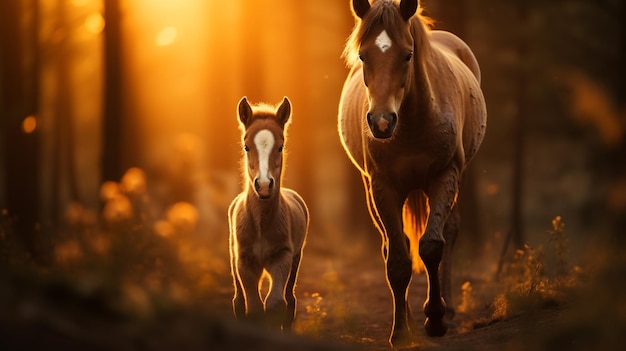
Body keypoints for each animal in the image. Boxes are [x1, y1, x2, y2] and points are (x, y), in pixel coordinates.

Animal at [228, 97, 308, 332]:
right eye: (246, 146)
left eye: (281, 146)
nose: (264, 186)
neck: (262, 224)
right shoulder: (244, 261)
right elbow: (253, 307)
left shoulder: (282, 256)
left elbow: (274, 304)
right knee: (238, 300)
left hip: (296, 259)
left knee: (290, 299)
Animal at [338, 0, 486, 346]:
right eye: (363, 55)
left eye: (407, 55)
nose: (381, 122)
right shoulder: (383, 187)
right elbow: (398, 260)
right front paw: (401, 331)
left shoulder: (445, 175)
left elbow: (432, 246)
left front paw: (436, 319)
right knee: (395, 244)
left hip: (457, 178)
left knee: (449, 231)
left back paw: (448, 310)